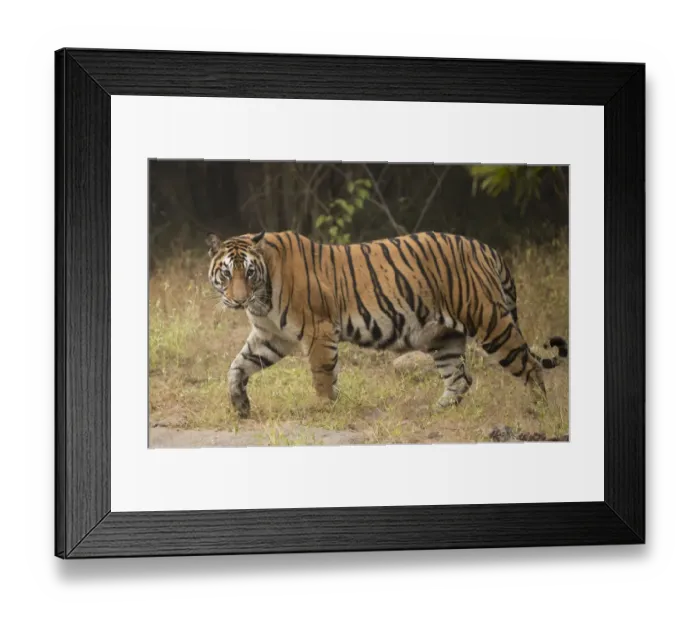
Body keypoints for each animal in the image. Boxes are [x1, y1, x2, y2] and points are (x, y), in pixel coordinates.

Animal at [206, 230, 568, 418]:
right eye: (227, 273)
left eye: (248, 272)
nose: (238, 300)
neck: (261, 296)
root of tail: (486, 248)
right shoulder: (270, 336)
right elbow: (236, 367)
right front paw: (240, 405)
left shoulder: (318, 331)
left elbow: (322, 375)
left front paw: (324, 408)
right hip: (444, 337)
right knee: (460, 378)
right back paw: (437, 410)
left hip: (490, 322)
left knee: (531, 365)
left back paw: (539, 412)